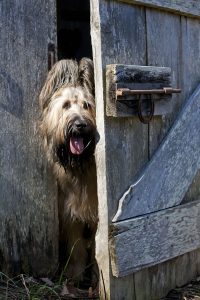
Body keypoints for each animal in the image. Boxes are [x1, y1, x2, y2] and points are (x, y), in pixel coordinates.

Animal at [38, 58, 97, 284]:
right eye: (65, 106)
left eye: (87, 105)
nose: (80, 125)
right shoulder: (69, 213)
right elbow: (76, 247)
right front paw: (75, 275)